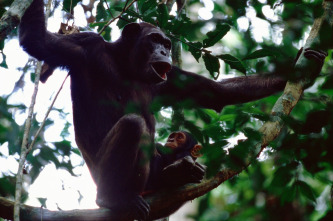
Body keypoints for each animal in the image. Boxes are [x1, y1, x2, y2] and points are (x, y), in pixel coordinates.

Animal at [18, 0, 326, 219]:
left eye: (167, 44)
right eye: (155, 40)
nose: (165, 51)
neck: (126, 64)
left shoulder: (171, 79)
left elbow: (217, 92)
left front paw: (302, 68)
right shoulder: (84, 44)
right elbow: (37, 41)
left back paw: (178, 173)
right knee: (133, 125)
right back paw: (112, 197)